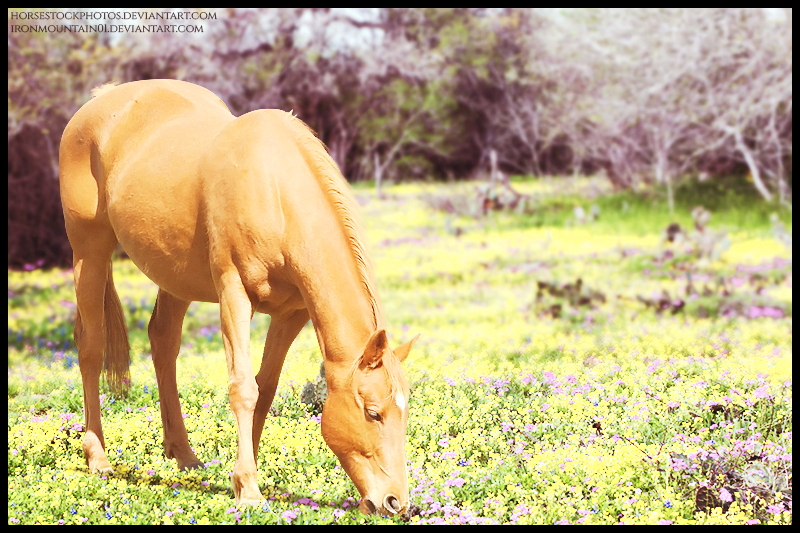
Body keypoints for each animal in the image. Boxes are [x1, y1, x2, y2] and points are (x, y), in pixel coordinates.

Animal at [60, 79, 422, 516]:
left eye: (404, 411)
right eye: (373, 412)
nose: (397, 502)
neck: (273, 191)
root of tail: (101, 100)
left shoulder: (291, 314)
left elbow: (264, 391)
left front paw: (245, 475)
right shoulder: (235, 296)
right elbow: (244, 389)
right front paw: (248, 489)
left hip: (175, 276)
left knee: (163, 342)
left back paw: (184, 455)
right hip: (89, 251)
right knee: (91, 348)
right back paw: (97, 458)